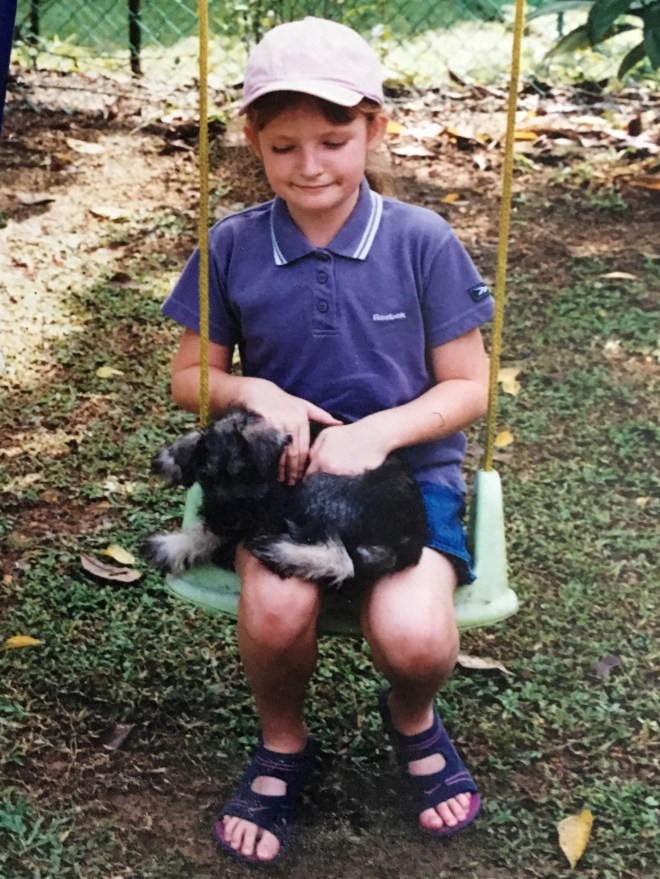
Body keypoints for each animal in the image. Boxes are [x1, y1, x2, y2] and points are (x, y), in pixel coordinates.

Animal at [142, 407, 428, 589]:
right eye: (207, 479)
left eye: (244, 475)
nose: (227, 520)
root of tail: (410, 538)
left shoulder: (263, 514)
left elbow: (209, 532)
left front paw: (173, 545)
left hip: (314, 489)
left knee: (342, 560)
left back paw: (277, 552)